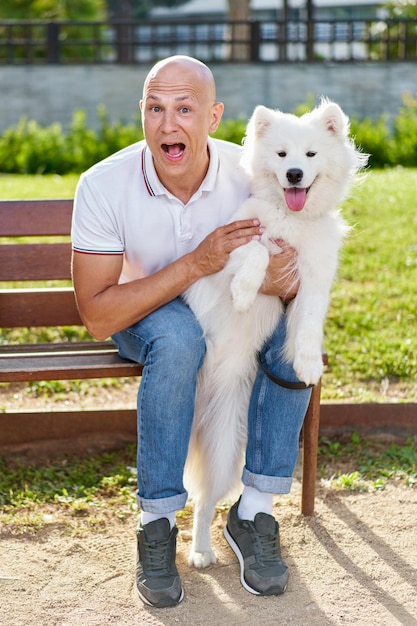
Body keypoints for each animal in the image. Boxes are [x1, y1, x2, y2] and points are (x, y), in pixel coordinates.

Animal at [182, 97, 368, 564]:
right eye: (282, 155)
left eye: (311, 155)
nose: (295, 174)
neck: (291, 219)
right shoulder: (228, 252)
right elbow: (257, 252)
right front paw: (245, 292)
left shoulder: (312, 282)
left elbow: (308, 326)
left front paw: (307, 363)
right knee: (196, 502)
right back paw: (198, 554)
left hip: (227, 444)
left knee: (206, 501)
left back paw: (206, 549)